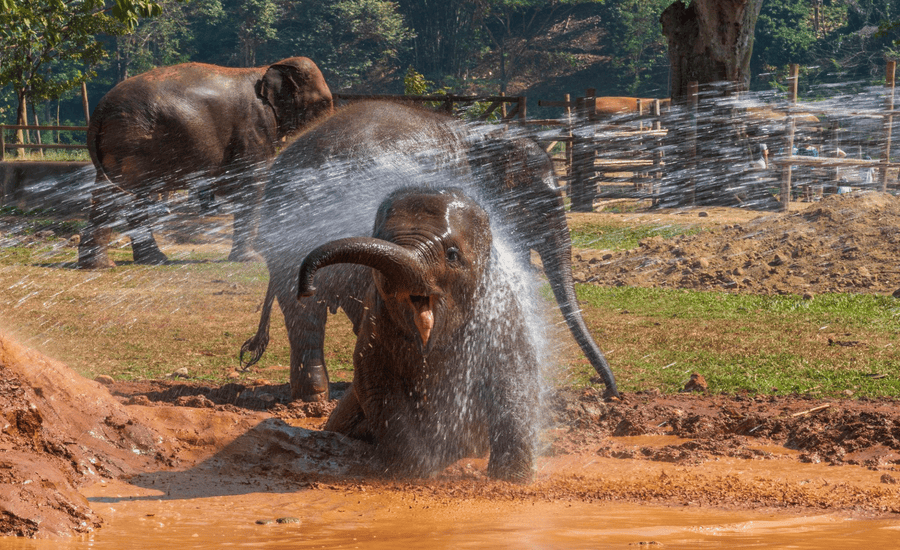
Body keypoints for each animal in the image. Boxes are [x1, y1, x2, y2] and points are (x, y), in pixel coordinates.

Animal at [78, 56, 333, 268]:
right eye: (322, 104)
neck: (267, 68)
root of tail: (99, 110)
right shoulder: (254, 126)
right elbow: (253, 181)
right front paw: (252, 260)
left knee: (122, 195)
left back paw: (137, 261)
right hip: (131, 139)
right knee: (119, 195)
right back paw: (107, 265)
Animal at [298, 187, 538, 481]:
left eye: (452, 255)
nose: (307, 289)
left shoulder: (502, 312)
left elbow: (515, 376)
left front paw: (510, 479)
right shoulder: (374, 324)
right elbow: (375, 381)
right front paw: (418, 471)